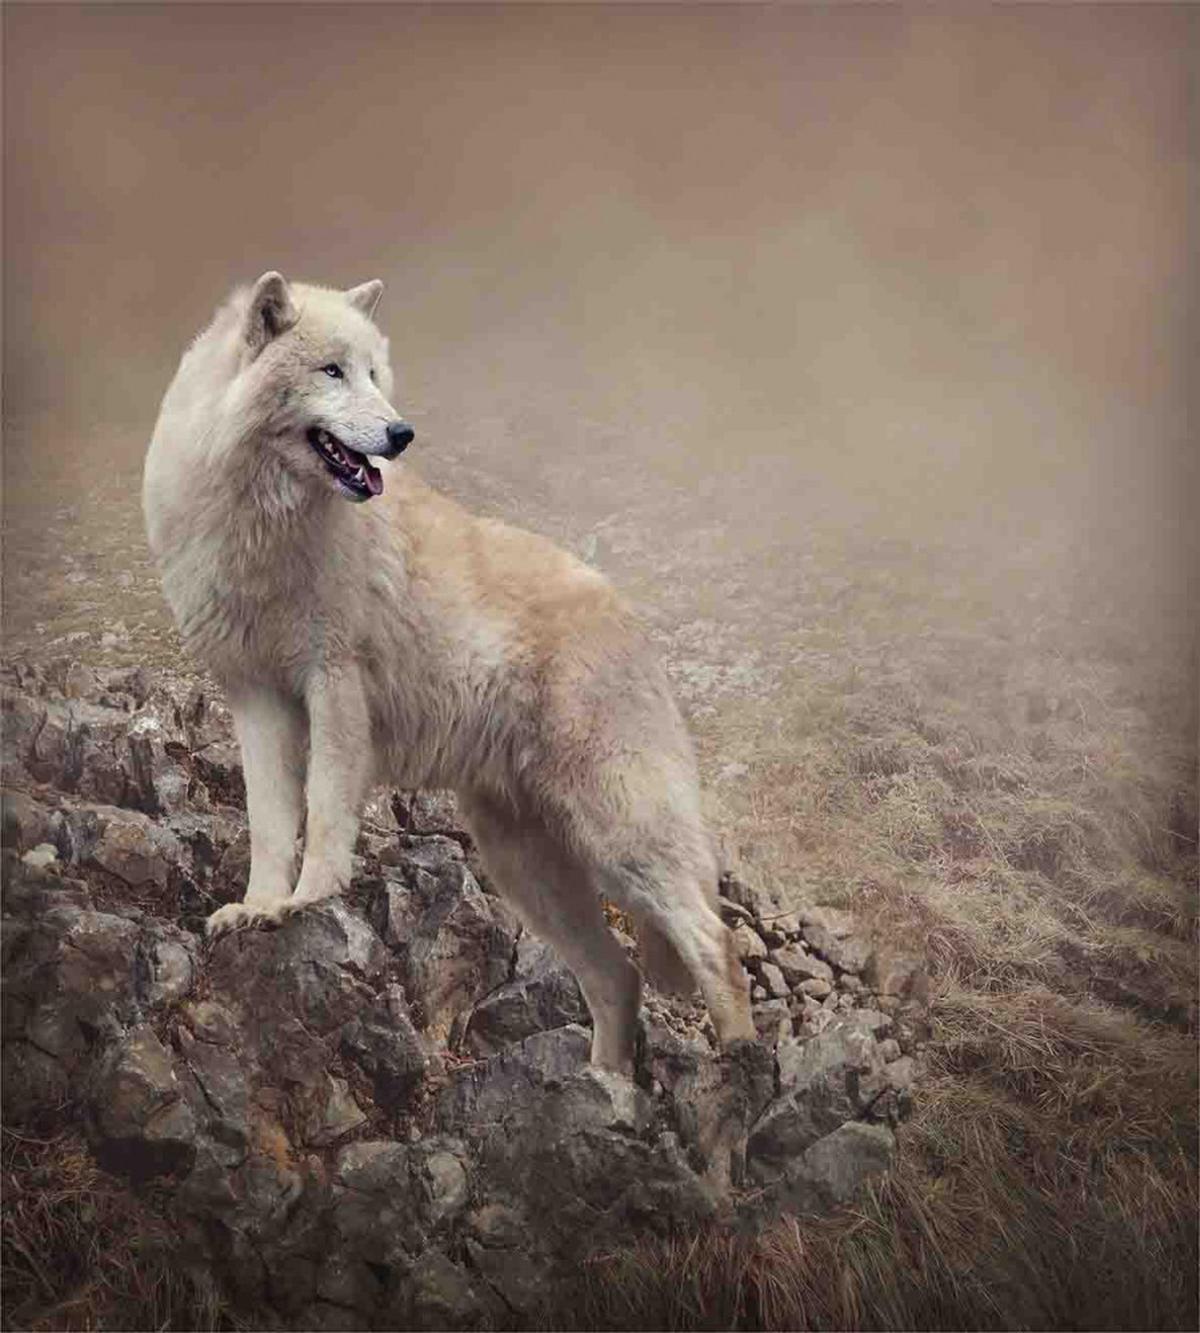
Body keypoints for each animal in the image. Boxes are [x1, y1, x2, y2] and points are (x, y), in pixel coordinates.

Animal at [142, 272, 755, 1073]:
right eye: (332, 372)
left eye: (375, 374)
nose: (402, 435)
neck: (262, 523)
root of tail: (627, 611)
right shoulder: (256, 701)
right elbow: (272, 823)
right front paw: (260, 908)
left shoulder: (333, 684)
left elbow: (325, 811)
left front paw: (310, 900)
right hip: (525, 866)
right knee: (618, 977)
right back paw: (602, 1086)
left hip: (619, 838)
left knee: (716, 942)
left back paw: (739, 1064)